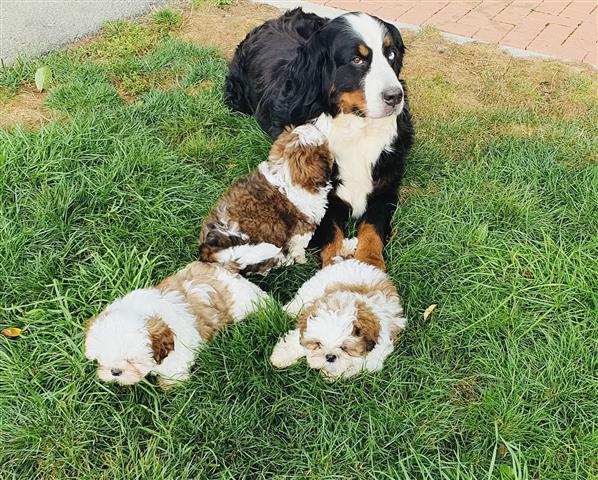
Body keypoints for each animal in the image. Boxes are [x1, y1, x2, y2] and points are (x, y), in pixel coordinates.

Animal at [86, 260, 268, 388]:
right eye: (103, 357)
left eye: (132, 360)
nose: (115, 372)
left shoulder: (176, 358)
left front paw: (170, 387)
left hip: (248, 301)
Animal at [200, 124, 332, 274]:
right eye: (324, 145)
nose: (312, 124)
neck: (285, 173)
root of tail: (214, 250)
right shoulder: (303, 227)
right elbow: (298, 246)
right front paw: (301, 259)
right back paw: (285, 261)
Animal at [226, 8, 418, 270]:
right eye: (357, 60)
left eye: (390, 54)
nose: (395, 96)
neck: (356, 129)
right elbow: (332, 235)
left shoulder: (385, 188)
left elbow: (372, 230)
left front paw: (370, 264)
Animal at [272, 240, 408, 378]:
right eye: (318, 344)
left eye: (344, 348)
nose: (330, 357)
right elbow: (296, 342)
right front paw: (280, 357)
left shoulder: (375, 355)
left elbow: (355, 364)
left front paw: (331, 373)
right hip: (316, 285)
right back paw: (289, 310)